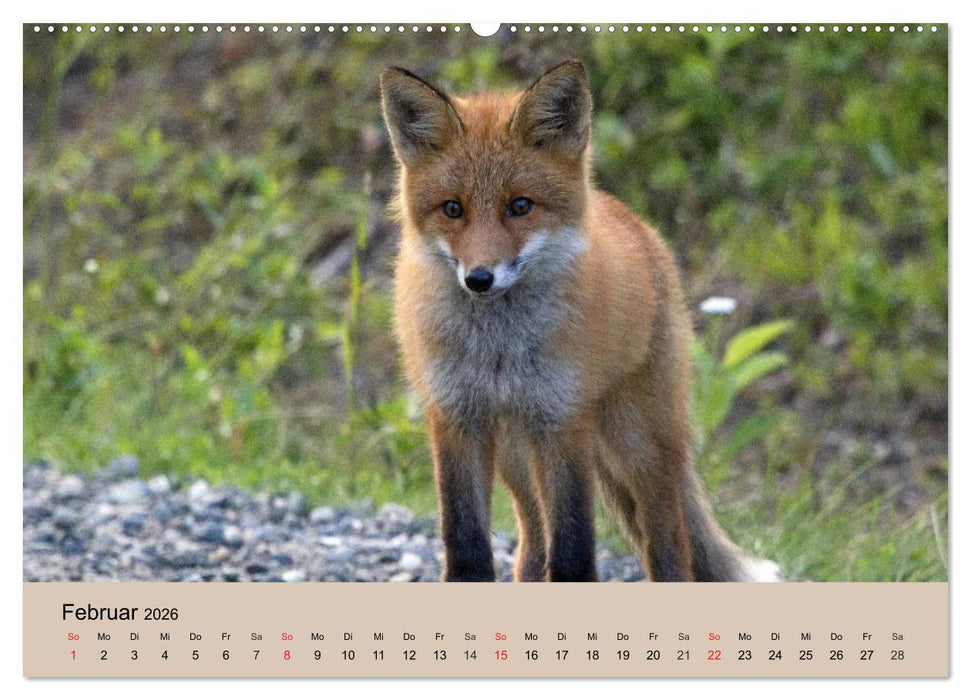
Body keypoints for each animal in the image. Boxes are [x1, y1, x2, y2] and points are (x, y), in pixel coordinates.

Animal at [379, 60, 782, 582]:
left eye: (520, 206)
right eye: (453, 208)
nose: (479, 278)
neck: (499, 349)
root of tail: (631, 217)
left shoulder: (563, 419)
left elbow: (572, 550)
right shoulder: (455, 417)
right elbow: (466, 544)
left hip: (638, 444)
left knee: (669, 538)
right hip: (514, 454)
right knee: (533, 539)